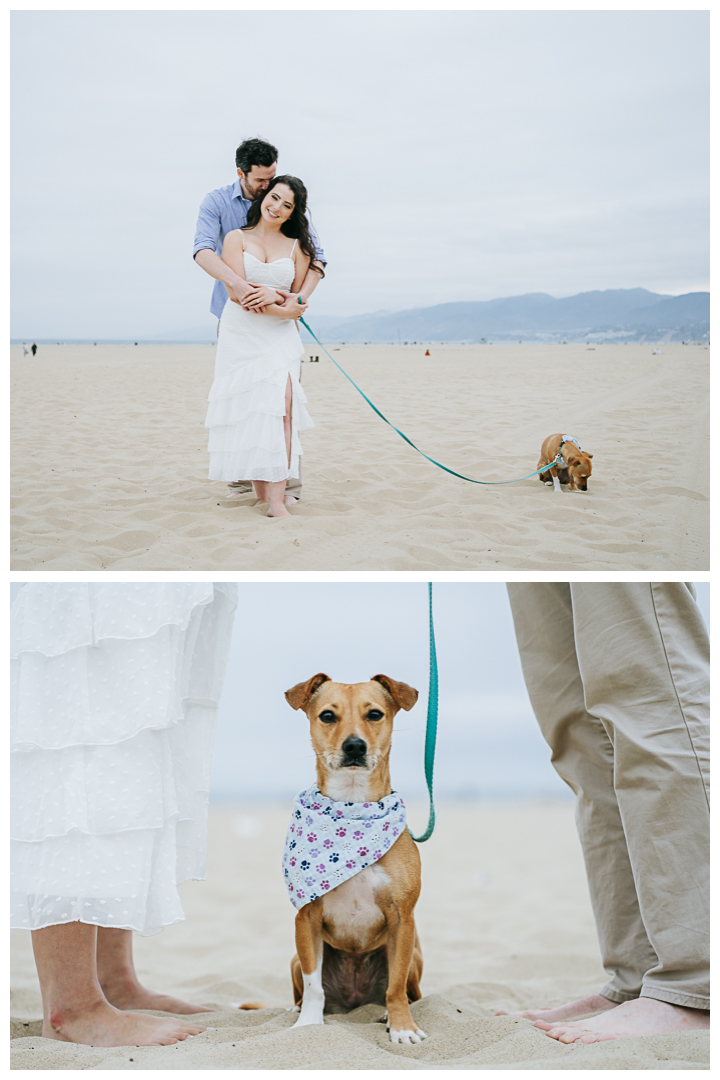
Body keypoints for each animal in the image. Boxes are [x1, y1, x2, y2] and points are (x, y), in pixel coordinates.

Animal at [282, 673, 427, 1045]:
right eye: (327, 716)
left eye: (374, 714)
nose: (354, 746)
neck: (352, 806)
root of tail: (354, 1002)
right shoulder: (306, 919)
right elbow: (313, 985)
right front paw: (308, 1024)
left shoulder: (403, 920)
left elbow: (395, 988)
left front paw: (402, 1027)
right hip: (294, 958)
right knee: (303, 990)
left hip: (415, 956)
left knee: (409, 991)